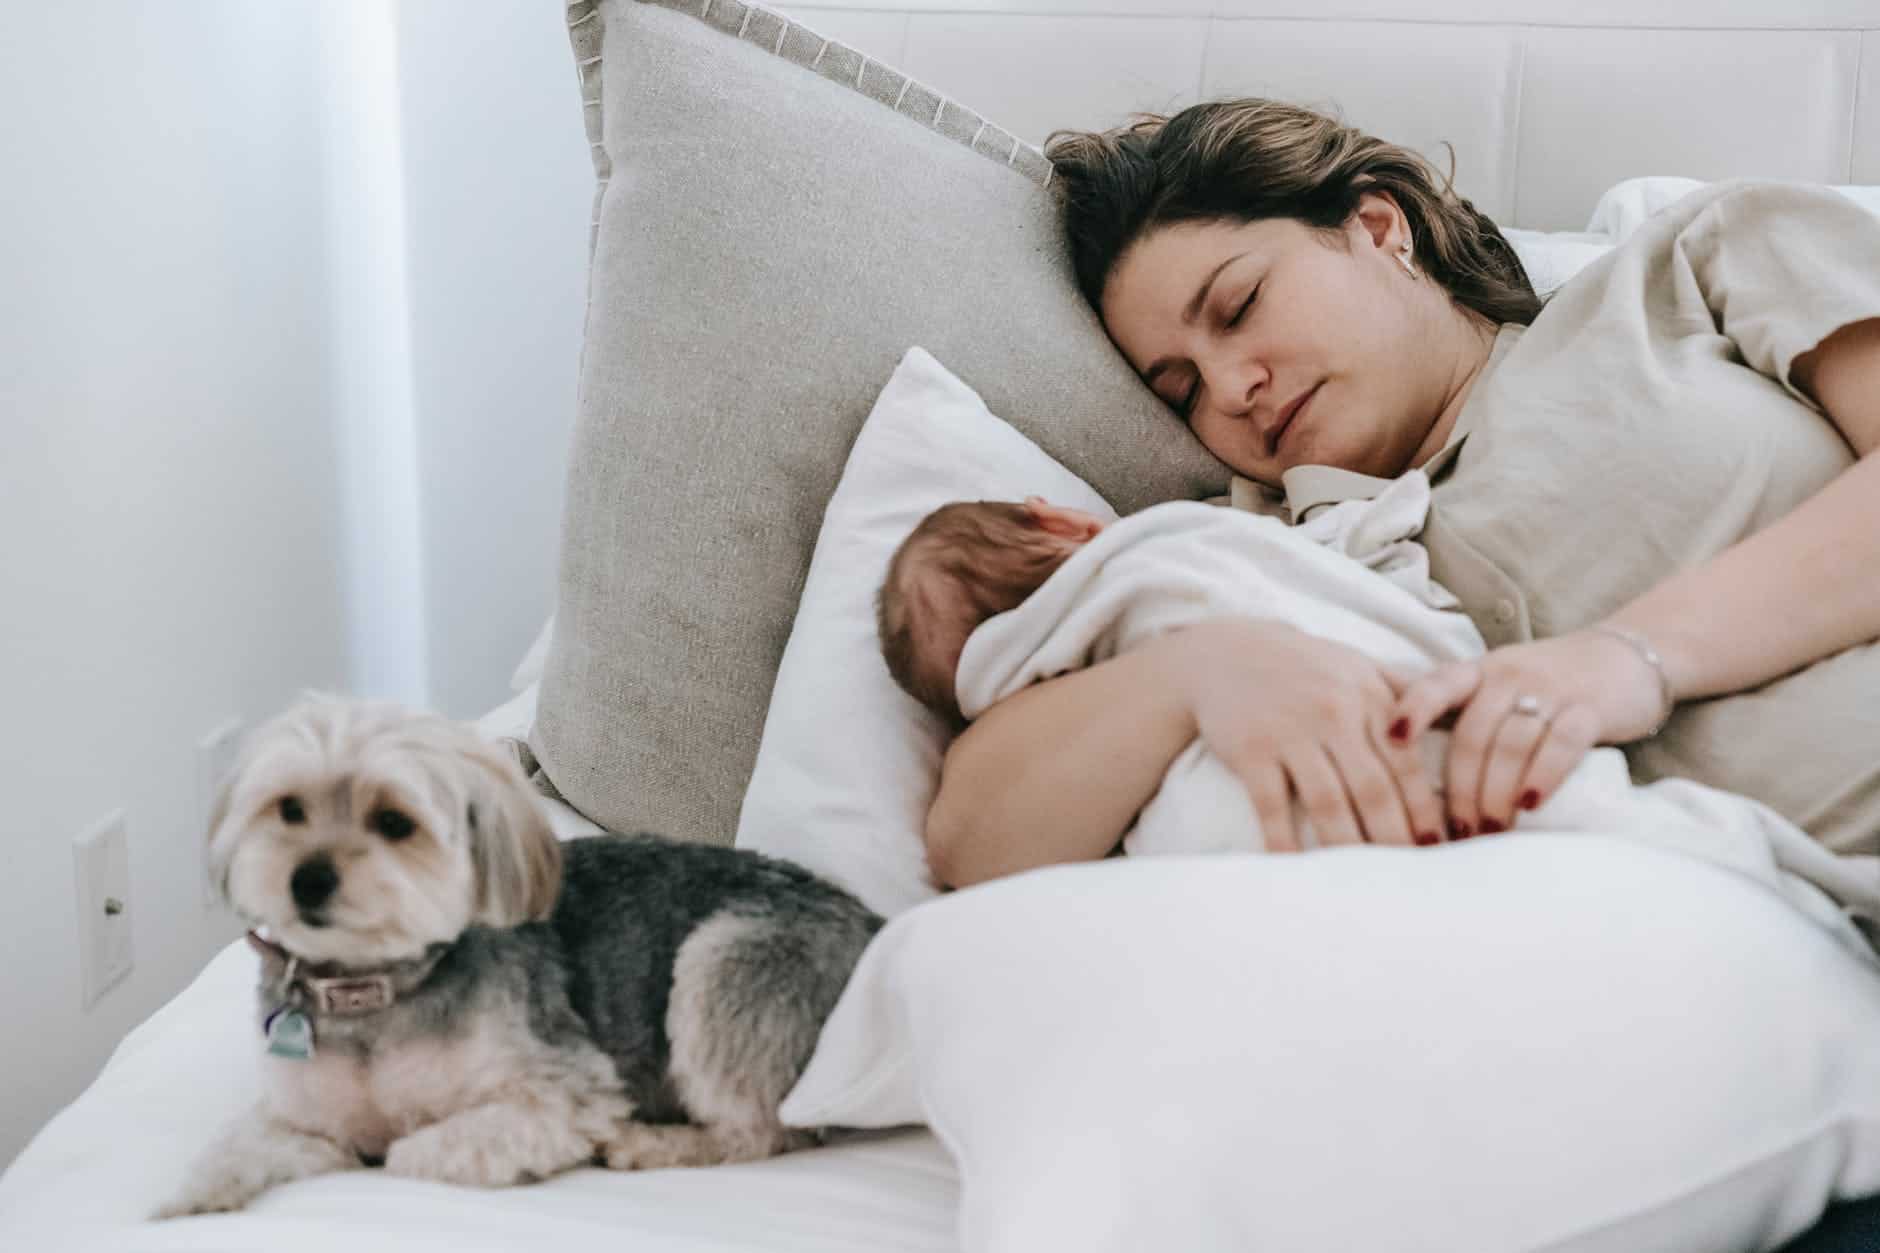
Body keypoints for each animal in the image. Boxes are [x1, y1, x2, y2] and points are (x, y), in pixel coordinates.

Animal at [157, 692, 883, 1211]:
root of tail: (873, 920)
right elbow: (237, 1147)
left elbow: (407, 1152)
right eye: (289, 809)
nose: (307, 879)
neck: (374, 990)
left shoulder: (561, 1091)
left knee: (762, 1130)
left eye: (393, 821)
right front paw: (183, 1202)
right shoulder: (303, 1118)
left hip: (723, 966)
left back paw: (647, 1143)